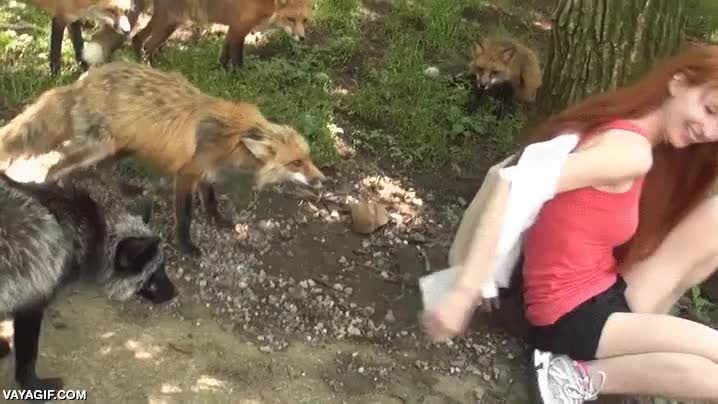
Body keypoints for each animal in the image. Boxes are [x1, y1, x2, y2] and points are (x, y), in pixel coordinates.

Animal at [0, 61, 327, 257]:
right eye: (295, 163)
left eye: (309, 158)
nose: (322, 181)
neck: (234, 138)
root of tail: (80, 81)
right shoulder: (187, 173)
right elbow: (185, 216)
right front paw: (186, 246)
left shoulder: (205, 170)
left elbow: (211, 201)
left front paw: (218, 220)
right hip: (101, 145)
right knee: (55, 166)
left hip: (127, 144)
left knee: (101, 168)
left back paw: (124, 191)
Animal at [0, 171, 176, 392]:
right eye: (154, 274)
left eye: (164, 265)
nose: (175, 292)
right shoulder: (31, 306)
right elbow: (27, 357)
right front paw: (32, 384)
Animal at [131, 0, 314, 70]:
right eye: (290, 19)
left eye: (304, 20)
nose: (302, 38)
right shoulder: (240, 29)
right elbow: (237, 58)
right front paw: (240, 77)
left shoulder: (233, 28)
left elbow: (224, 54)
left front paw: (221, 70)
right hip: (170, 22)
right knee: (148, 45)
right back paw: (151, 67)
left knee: (137, 38)